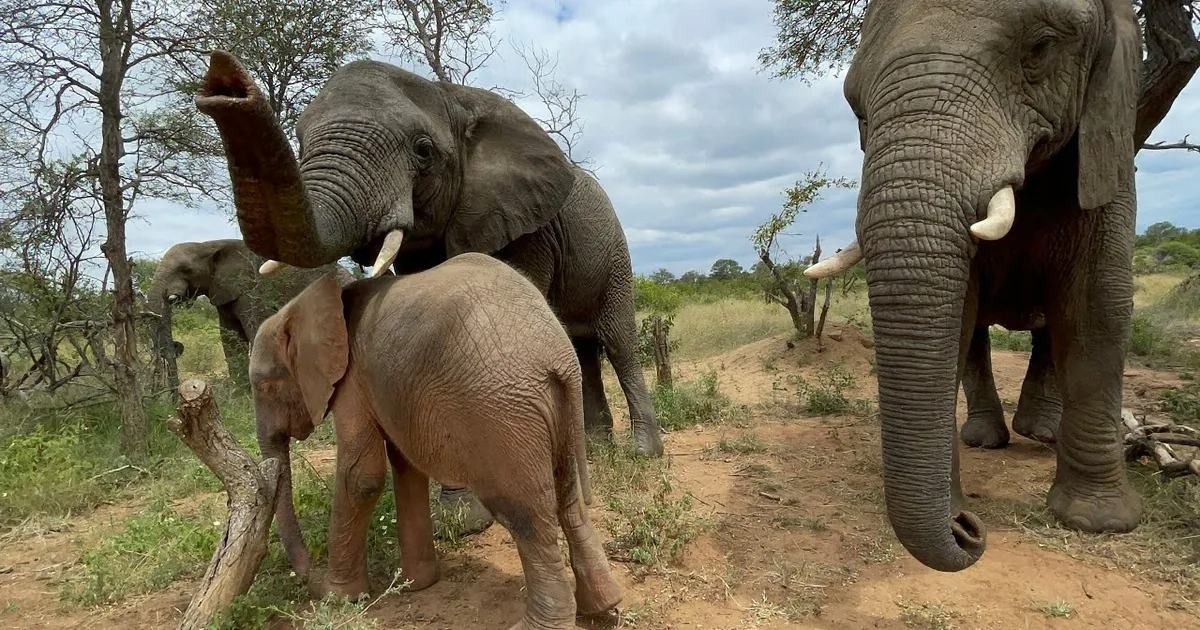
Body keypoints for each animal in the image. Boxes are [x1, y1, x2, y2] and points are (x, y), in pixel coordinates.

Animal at [147, 239, 352, 389]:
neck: (208, 244)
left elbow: (256, 330)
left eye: (186, 270)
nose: (177, 346)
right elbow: (230, 340)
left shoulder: (252, 291)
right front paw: (240, 391)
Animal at [249, 254, 622, 629]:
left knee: (526, 514)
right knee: (568, 498)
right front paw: (415, 585)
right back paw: (603, 605)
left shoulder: (351, 381)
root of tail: (560, 358)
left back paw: (538, 623)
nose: (308, 576)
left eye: (265, 386)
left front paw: (338, 597)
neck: (302, 305)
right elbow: (405, 468)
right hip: (553, 411)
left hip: (500, 416)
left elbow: (361, 477)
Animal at [804, 0, 1144, 572]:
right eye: (855, 106)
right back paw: (986, 440)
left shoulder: (1108, 148)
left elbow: (1096, 307)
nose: (968, 530)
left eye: (1041, 48)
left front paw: (1099, 523)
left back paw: (1040, 433)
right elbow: (959, 315)